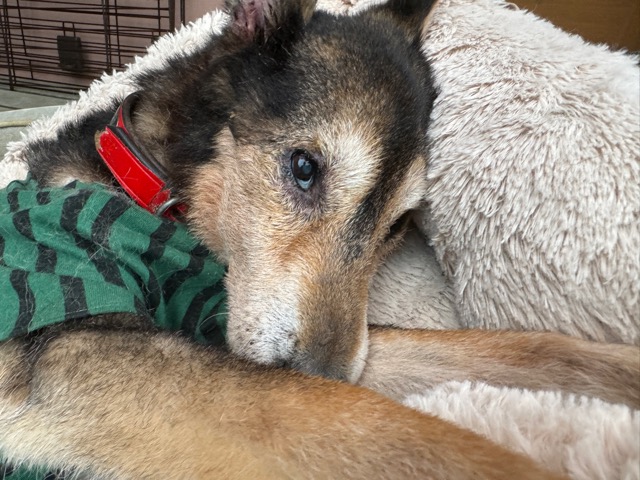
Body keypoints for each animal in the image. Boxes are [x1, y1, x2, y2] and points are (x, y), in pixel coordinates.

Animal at [1, 0, 637, 477]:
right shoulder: (82, 355)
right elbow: (396, 431)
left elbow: (519, 350)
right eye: (304, 168)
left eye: (398, 225)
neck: (150, 187)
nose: (321, 371)